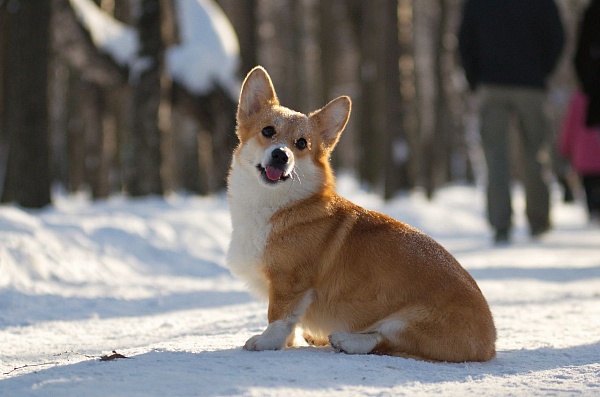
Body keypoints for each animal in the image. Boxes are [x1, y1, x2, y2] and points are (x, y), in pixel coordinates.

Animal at [226, 67, 496, 362]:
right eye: (268, 131)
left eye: (301, 143)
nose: (281, 156)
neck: (276, 204)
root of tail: (490, 342)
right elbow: (291, 324)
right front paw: (290, 342)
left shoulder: (290, 283)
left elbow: (279, 317)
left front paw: (266, 342)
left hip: (409, 322)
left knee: (384, 341)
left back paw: (346, 340)